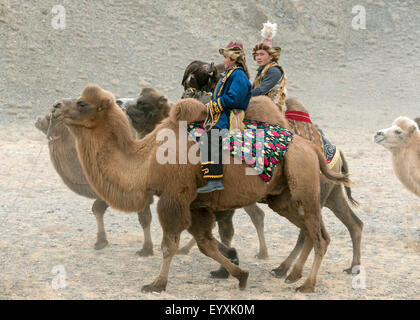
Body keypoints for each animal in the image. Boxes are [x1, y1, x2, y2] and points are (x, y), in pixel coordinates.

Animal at [33, 87, 170, 252]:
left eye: (80, 102)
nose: (39, 119)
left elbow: (144, 216)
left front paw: (147, 249)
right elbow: (97, 208)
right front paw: (101, 241)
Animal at [54, 84, 352, 292]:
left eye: (82, 103)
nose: (55, 106)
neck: (148, 159)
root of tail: (312, 147)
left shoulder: (174, 198)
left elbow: (169, 245)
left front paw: (157, 284)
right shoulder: (197, 205)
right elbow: (206, 244)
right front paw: (239, 275)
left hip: (305, 189)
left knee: (320, 236)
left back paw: (306, 285)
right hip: (282, 197)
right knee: (311, 231)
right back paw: (290, 274)